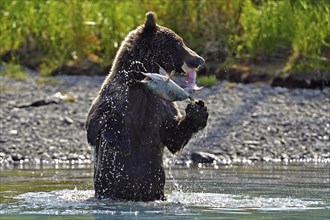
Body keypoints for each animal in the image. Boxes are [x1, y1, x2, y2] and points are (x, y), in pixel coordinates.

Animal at [86, 11, 208, 201]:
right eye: (179, 42)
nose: (199, 59)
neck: (141, 82)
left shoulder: (160, 103)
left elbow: (173, 134)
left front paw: (198, 110)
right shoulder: (116, 94)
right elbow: (96, 123)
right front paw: (121, 142)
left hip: (156, 188)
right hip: (107, 187)